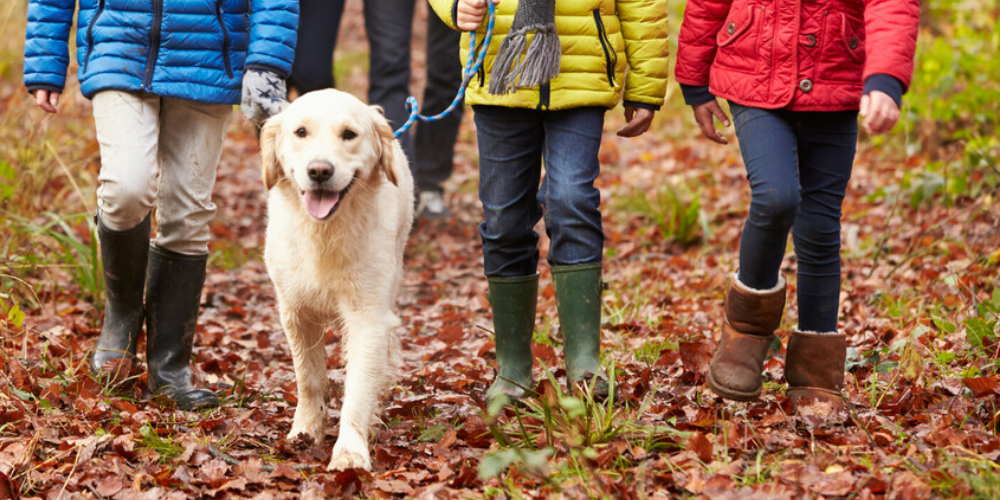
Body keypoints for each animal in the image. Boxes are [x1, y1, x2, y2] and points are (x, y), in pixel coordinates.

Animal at [262, 91, 414, 472]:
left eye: (349, 134)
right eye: (301, 132)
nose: (319, 171)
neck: (325, 231)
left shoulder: (368, 316)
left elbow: (358, 388)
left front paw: (350, 452)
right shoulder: (295, 312)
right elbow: (309, 378)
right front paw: (305, 431)